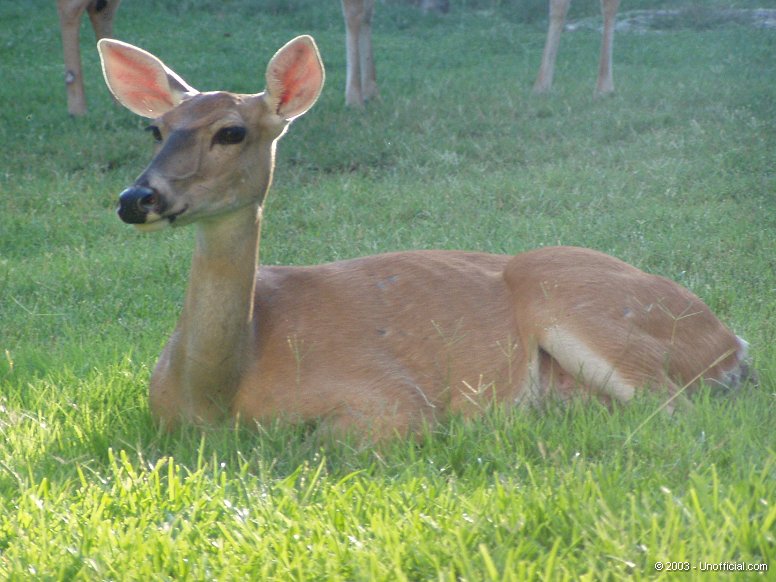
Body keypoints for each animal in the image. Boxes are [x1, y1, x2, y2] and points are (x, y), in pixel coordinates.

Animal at [97, 35, 752, 438]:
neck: (217, 395)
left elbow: (325, 439)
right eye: (156, 130)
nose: (137, 199)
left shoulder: (390, 398)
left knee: (674, 410)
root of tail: (732, 342)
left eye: (231, 132)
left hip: (587, 304)